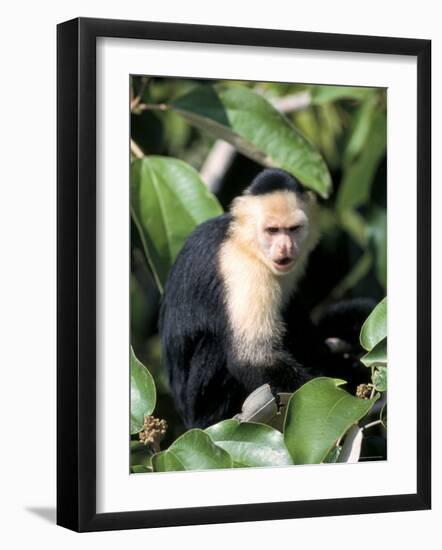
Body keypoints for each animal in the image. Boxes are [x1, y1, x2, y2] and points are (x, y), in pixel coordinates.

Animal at [159, 168, 372, 432]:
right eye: (272, 230)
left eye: (293, 229)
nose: (285, 247)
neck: (246, 241)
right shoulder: (242, 267)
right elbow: (253, 358)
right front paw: (342, 387)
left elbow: (304, 331)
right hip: (201, 409)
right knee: (216, 345)